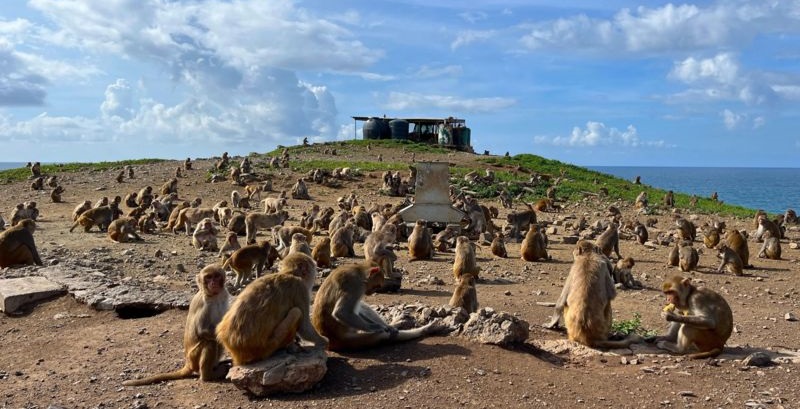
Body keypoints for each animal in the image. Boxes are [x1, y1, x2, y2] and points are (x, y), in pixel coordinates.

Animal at [311, 262, 449, 351]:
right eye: (376, 286)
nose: (370, 292)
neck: (358, 271)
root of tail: (331, 342)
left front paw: (388, 325)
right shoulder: (355, 285)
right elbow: (341, 312)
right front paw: (377, 327)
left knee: (361, 307)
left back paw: (394, 324)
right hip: (348, 338)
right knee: (383, 337)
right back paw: (426, 329)